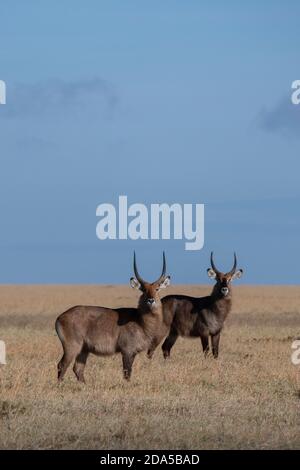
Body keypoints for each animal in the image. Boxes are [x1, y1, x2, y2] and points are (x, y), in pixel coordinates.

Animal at [55, 253, 170, 382]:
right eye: (144, 290)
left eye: (157, 289)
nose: (151, 300)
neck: (140, 321)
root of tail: (60, 317)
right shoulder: (127, 351)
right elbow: (127, 373)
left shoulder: (132, 352)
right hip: (72, 347)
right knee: (62, 365)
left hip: (83, 350)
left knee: (78, 368)